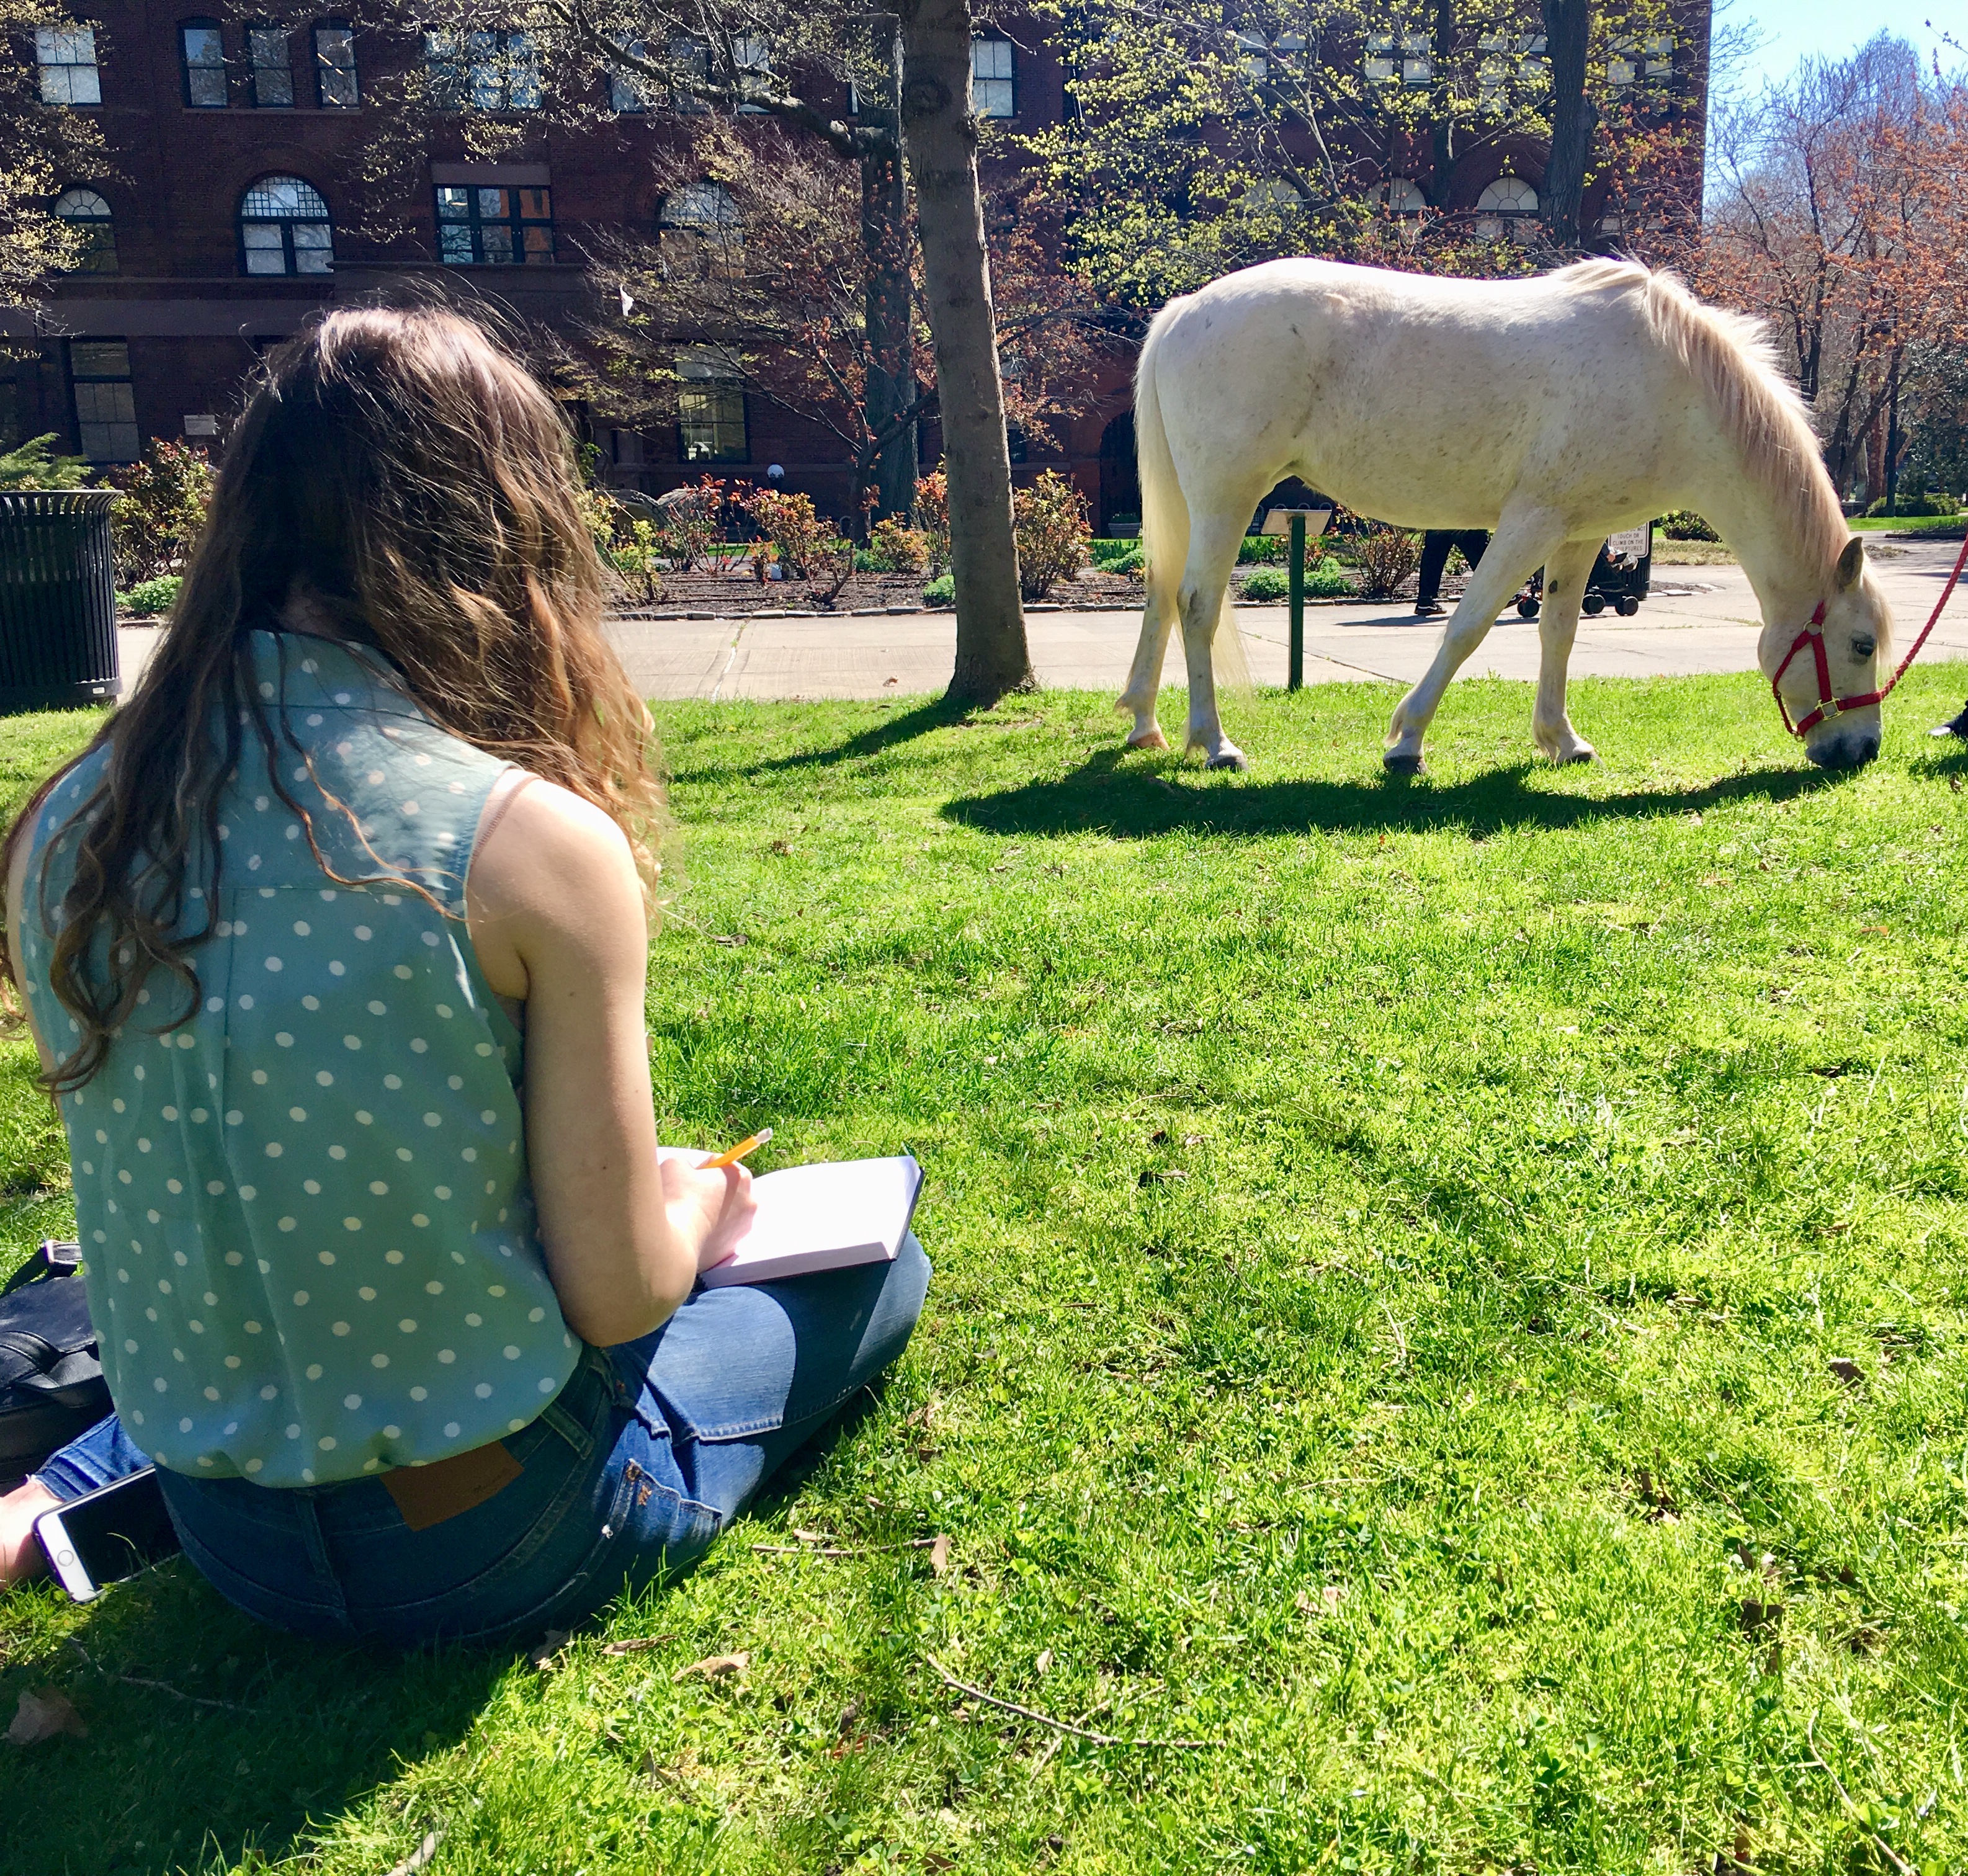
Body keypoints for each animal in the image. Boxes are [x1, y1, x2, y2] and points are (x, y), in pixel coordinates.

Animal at [1117, 256, 1897, 767]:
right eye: (1861, 645)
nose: (1860, 751)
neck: (1671, 383)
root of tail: (1185, 308)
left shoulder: (1578, 535)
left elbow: (1558, 632)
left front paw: (1561, 740)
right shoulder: (1530, 523)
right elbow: (1467, 627)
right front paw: (1407, 741)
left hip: (1192, 504)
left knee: (1159, 594)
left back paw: (1143, 726)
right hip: (1225, 501)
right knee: (1195, 605)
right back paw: (1213, 742)